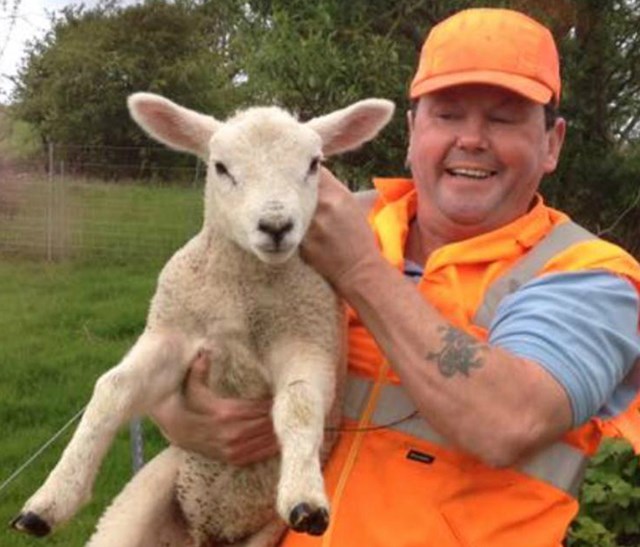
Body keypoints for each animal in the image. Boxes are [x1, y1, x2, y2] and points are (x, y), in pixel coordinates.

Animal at [11, 94, 396, 547]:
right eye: (221, 167)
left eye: (314, 164)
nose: (276, 226)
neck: (239, 296)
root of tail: (207, 535)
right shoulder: (172, 332)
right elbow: (112, 388)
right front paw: (49, 500)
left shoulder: (309, 336)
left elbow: (300, 402)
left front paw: (305, 499)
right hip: (136, 505)